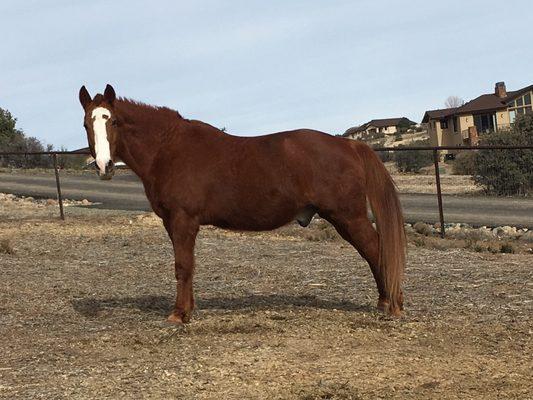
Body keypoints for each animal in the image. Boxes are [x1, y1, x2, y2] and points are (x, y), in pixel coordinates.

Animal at [78, 83, 404, 322]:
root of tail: (349, 144)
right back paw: (384, 302)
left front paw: (178, 315)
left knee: (375, 249)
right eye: (85, 124)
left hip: (348, 216)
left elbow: (183, 265)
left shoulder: (184, 220)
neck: (167, 149)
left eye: (114, 121)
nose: (105, 166)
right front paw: (188, 308)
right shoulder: (172, 222)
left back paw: (393, 305)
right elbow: (187, 265)